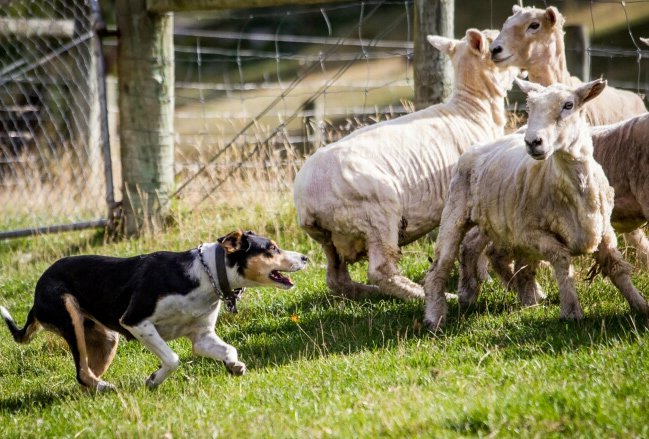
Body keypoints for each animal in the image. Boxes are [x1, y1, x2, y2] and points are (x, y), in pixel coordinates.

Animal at [0, 230, 307, 391]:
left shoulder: (202, 337)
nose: (305, 257)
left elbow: (229, 349)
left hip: (105, 339)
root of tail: (36, 291)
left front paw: (234, 366)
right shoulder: (137, 322)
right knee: (82, 373)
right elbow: (172, 359)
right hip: (70, 318)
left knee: (84, 376)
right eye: (271, 248)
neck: (204, 275)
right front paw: (153, 380)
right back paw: (108, 389)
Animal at [293, 29, 519, 300]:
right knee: (381, 271)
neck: (474, 110)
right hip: (376, 213)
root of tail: (305, 200)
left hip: (329, 240)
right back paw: (429, 295)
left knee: (336, 279)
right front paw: (484, 278)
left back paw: (370, 293)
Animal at [423, 78, 649, 330]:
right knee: (440, 266)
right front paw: (571, 310)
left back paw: (477, 293)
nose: (533, 142)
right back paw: (435, 316)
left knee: (477, 248)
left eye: (568, 105)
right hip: (457, 213)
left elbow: (616, 267)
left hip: (494, 220)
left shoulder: (603, 230)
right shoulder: (531, 233)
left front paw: (640, 306)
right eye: (530, 108)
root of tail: (484, 143)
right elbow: (561, 260)